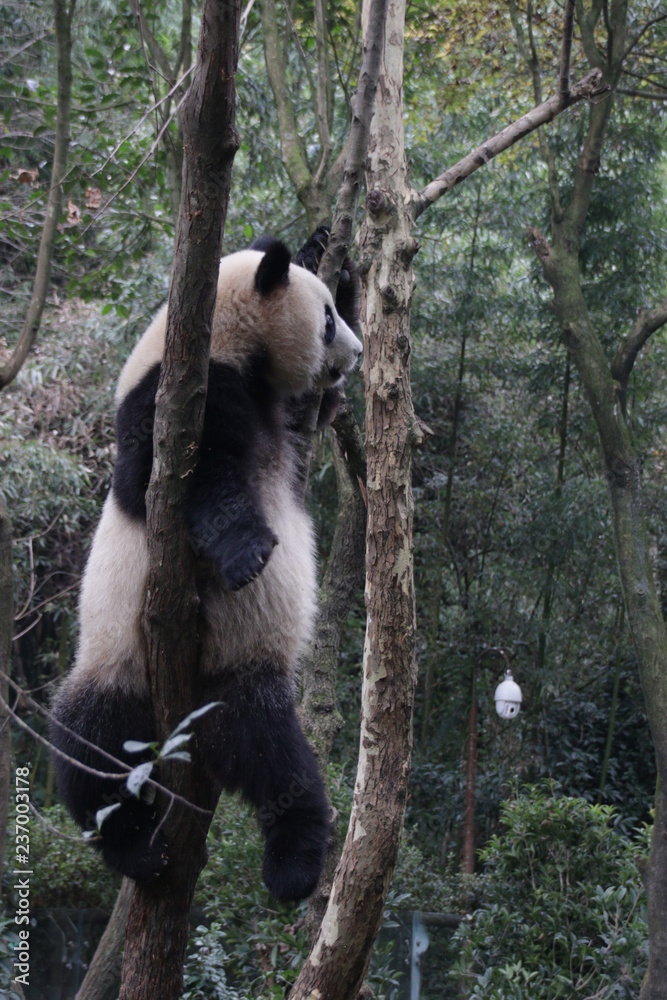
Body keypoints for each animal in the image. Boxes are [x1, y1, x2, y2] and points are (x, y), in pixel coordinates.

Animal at [49, 236, 362, 903]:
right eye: (325, 323)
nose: (356, 353)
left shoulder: (283, 409)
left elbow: (318, 413)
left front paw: (331, 252)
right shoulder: (168, 401)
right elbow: (173, 481)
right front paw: (249, 552)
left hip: (241, 674)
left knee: (277, 758)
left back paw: (294, 866)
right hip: (118, 662)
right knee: (90, 741)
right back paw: (136, 849)